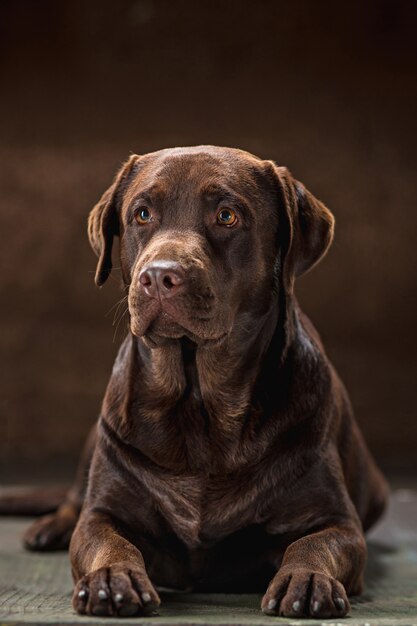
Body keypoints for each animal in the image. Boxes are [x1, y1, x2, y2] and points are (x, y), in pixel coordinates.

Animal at [4, 145, 388, 616]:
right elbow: (107, 539)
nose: (158, 277)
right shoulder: (103, 513)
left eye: (227, 216)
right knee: (73, 499)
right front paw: (111, 578)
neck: (200, 403)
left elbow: (313, 545)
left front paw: (309, 580)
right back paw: (51, 526)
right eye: (142, 214)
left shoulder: (337, 521)